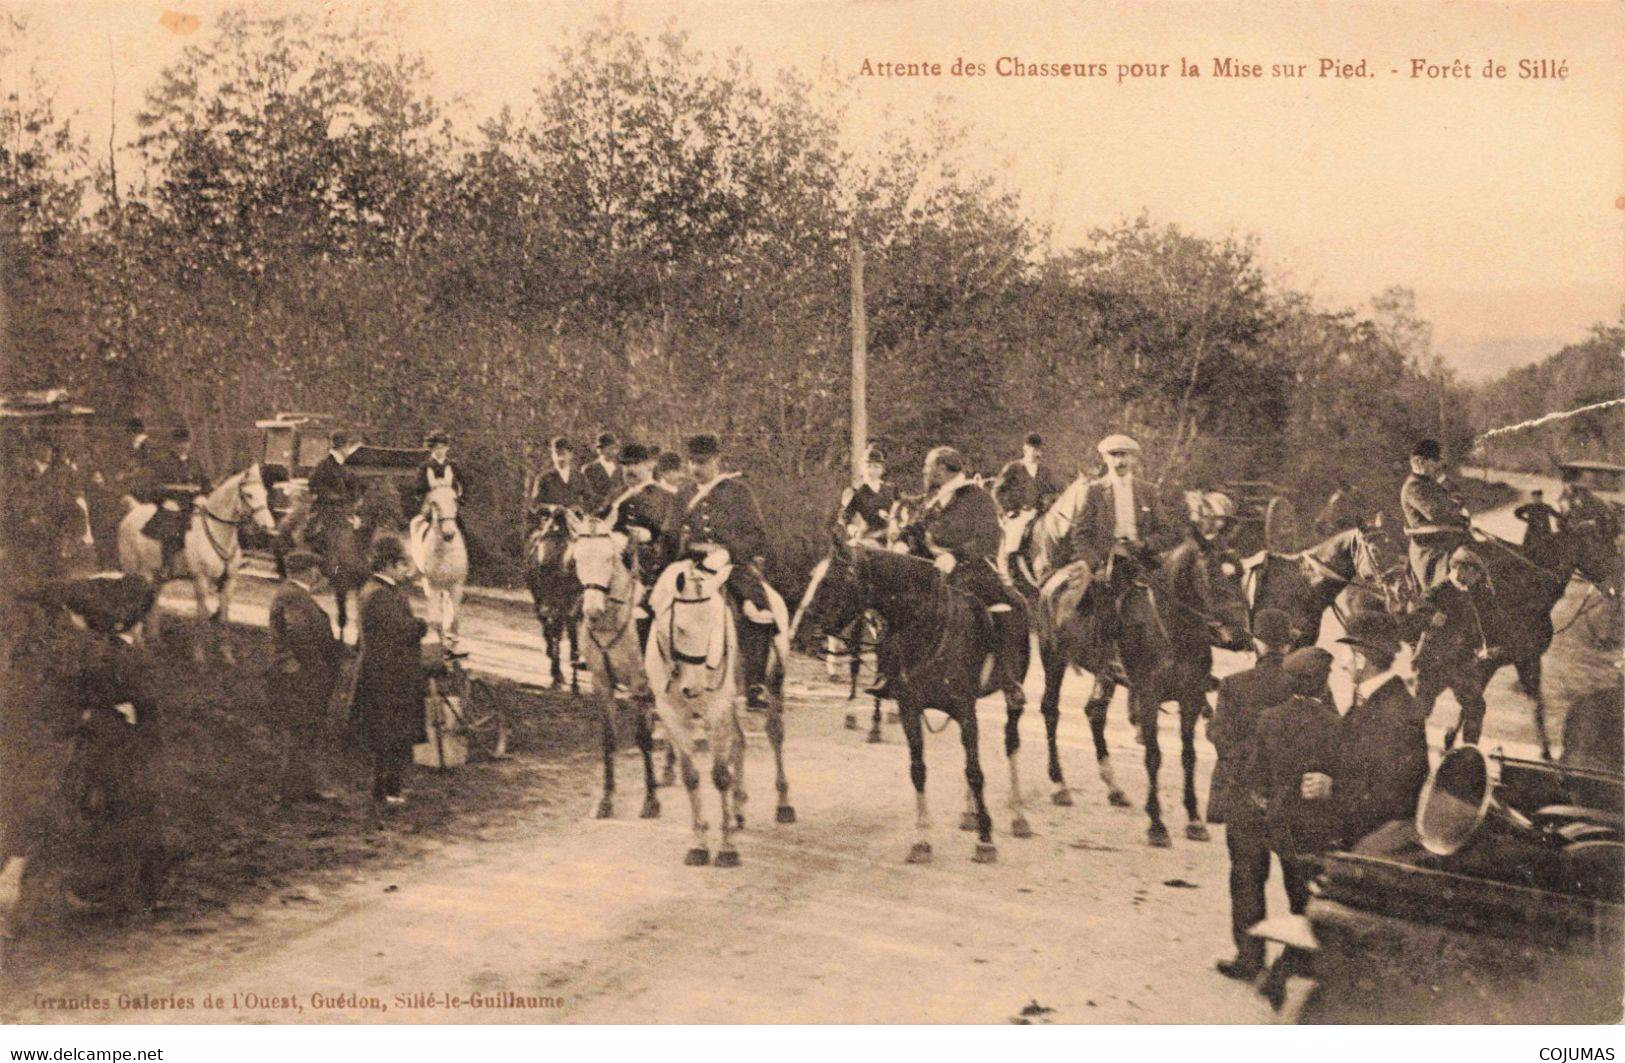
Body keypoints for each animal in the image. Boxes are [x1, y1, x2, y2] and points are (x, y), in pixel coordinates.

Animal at [114, 468, 276, 666]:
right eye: (249, 494)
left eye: (265, 494)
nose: (269, 526)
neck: (216, 531)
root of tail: (133, 511)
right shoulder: (200, 581)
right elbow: (202, 618)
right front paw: (199, 657)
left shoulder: (229, 583)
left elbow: (224, 619)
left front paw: (227, 656)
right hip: (135, 571)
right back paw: (137, 644)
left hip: (156, 575)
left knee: (152, 603)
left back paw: (155, 642)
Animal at [409, 484, 468, 650]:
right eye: (434, 503)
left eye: (455, 500)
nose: (449, 533)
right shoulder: (433, 584)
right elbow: (435, 616)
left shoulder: (456, 585)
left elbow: (455, 616)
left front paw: (453, 641)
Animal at [646, 562, 747, 871]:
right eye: (680, 628)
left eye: (716, 628)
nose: (696, 688)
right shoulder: (670, 714)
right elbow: (690, 776)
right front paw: (699, 845)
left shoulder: (718, 709)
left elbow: (721, 776)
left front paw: (727, 848)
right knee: (740, 743)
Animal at [793, 542, 1033, 864]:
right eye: (813, 577)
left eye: (832, 580)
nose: (801, 635)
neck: (928, 626)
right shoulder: (911, 709)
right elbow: (919, 770)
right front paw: (922, 840)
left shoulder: (964, 710)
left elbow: (975, 771)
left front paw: (985, 840)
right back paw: (969, 813)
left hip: (1011, 695)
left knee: (1011, 743)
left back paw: (1018, 815)